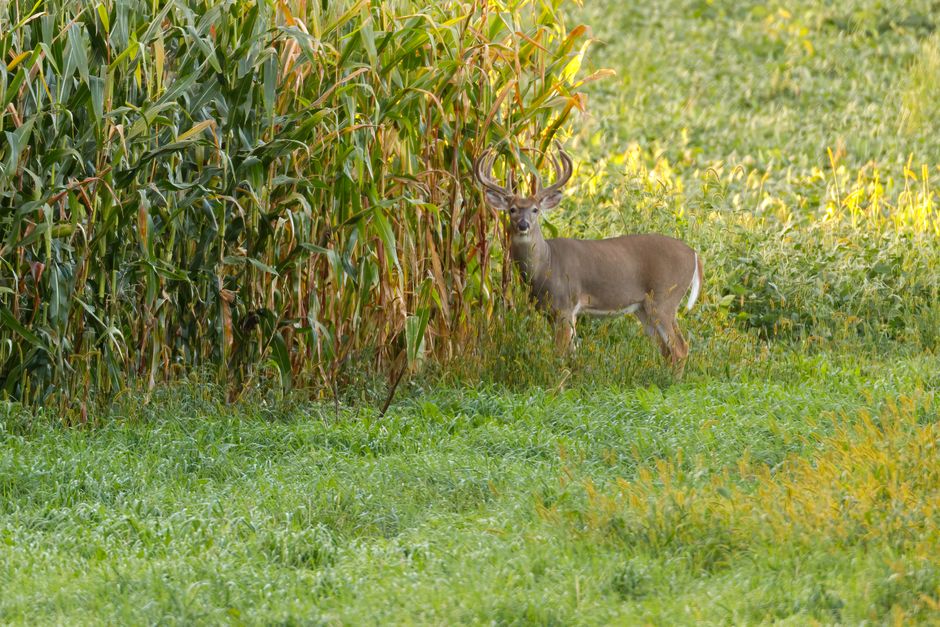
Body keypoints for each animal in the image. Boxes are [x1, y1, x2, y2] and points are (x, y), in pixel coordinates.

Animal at [473, 142, 704, 370]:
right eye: (512, 209)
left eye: (535, 209)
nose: (523, 225)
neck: (545, 264)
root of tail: (694, 254)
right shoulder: (550, 311)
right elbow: (572, 354)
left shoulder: (565, 304)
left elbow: (561, 355)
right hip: (644, 308)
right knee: (667, 351)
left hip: (665, 298)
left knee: (680, 348)